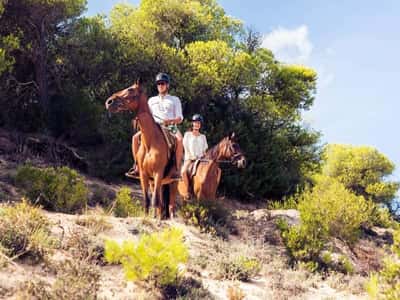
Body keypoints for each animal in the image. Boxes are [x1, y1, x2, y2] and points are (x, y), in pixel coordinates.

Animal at [104, 82, 177, 218]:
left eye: (130, 90)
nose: (109, 102)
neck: (150, 142)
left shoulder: (158, 173)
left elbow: (154, 200)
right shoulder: (144, 175)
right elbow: (147, 200)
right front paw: (147, 217)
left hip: (173, 182)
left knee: (170, 204)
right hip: (156, 182)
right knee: (161, 203)